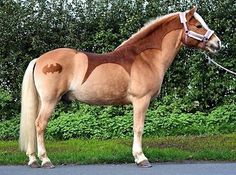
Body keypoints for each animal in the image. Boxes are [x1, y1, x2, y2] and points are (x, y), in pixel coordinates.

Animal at [20, 6, 221, 168]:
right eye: (198, 26)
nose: (217, 43)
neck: (145, 58)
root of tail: (40, 59)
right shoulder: (141, 101)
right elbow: (138, 128)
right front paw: (141, 158)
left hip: (42, 101)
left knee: (33, 125)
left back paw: (33, 160)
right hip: (50, 101)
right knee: (40, 125)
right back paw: (45, 160)